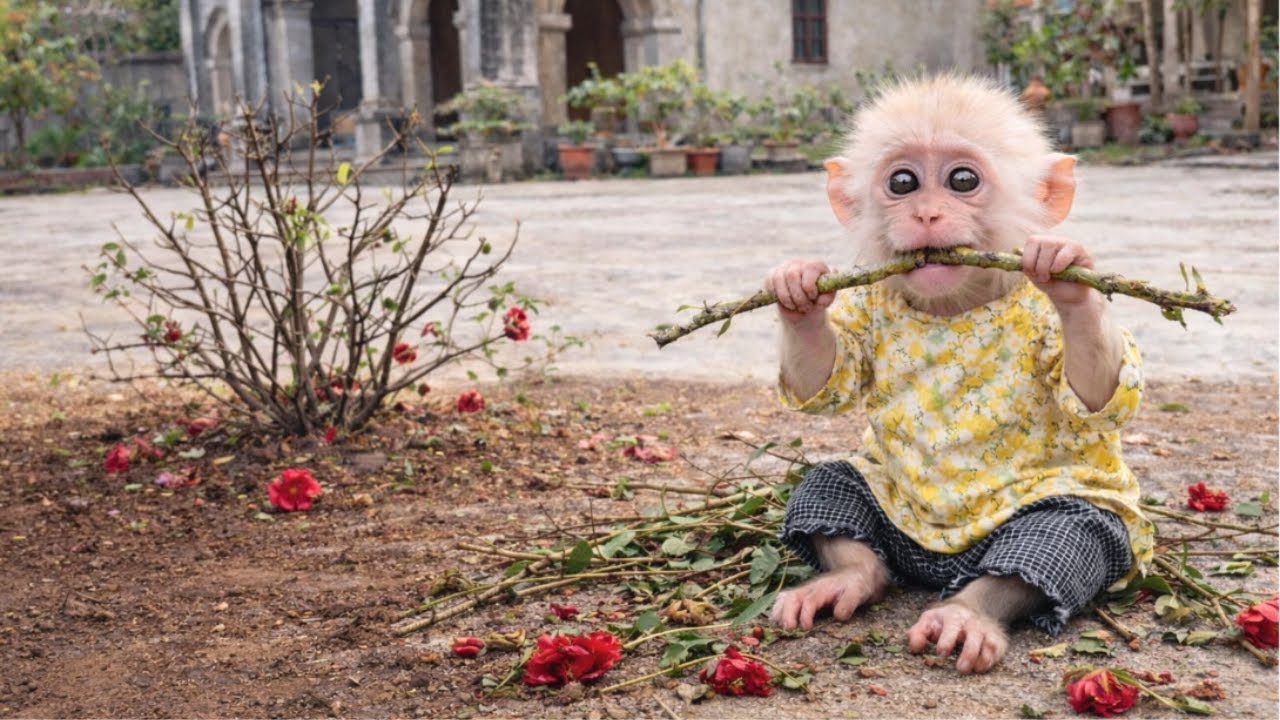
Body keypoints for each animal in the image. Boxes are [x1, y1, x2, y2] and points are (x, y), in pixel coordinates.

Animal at [764, 75, 1153, 674]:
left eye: (962, 180)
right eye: (903, 182)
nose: (926, 215)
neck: (956, 307)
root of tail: (936, 569)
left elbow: (1097, 393)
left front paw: (1067, 275)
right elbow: (828, 380)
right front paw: (798, 289)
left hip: (1088, 531)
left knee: (1061, 531)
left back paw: (967, 614)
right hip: (873, 505)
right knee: (831, 482)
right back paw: (847, 577)